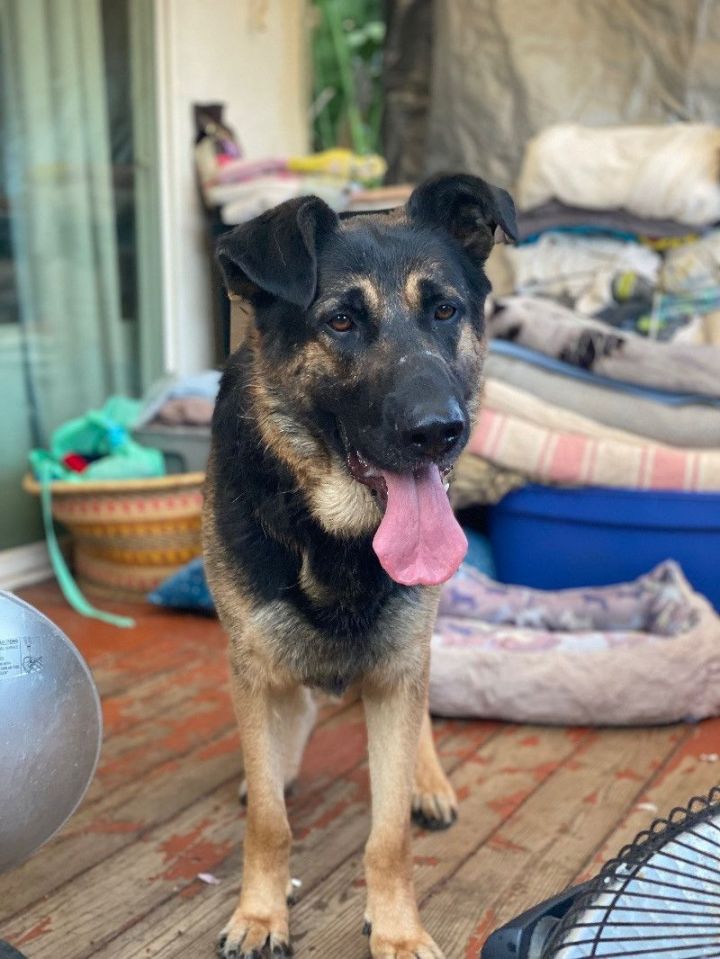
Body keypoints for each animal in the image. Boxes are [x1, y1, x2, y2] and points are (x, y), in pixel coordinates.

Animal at [202, 174, 516, 959]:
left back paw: (427, 780)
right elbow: (269, 823)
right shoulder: (252, 665)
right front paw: (260, 914)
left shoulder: (397, 668)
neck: (338, 531)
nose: (438, 431)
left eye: (444, 311)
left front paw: (398, 929)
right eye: (341, 321)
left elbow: (388, 833)